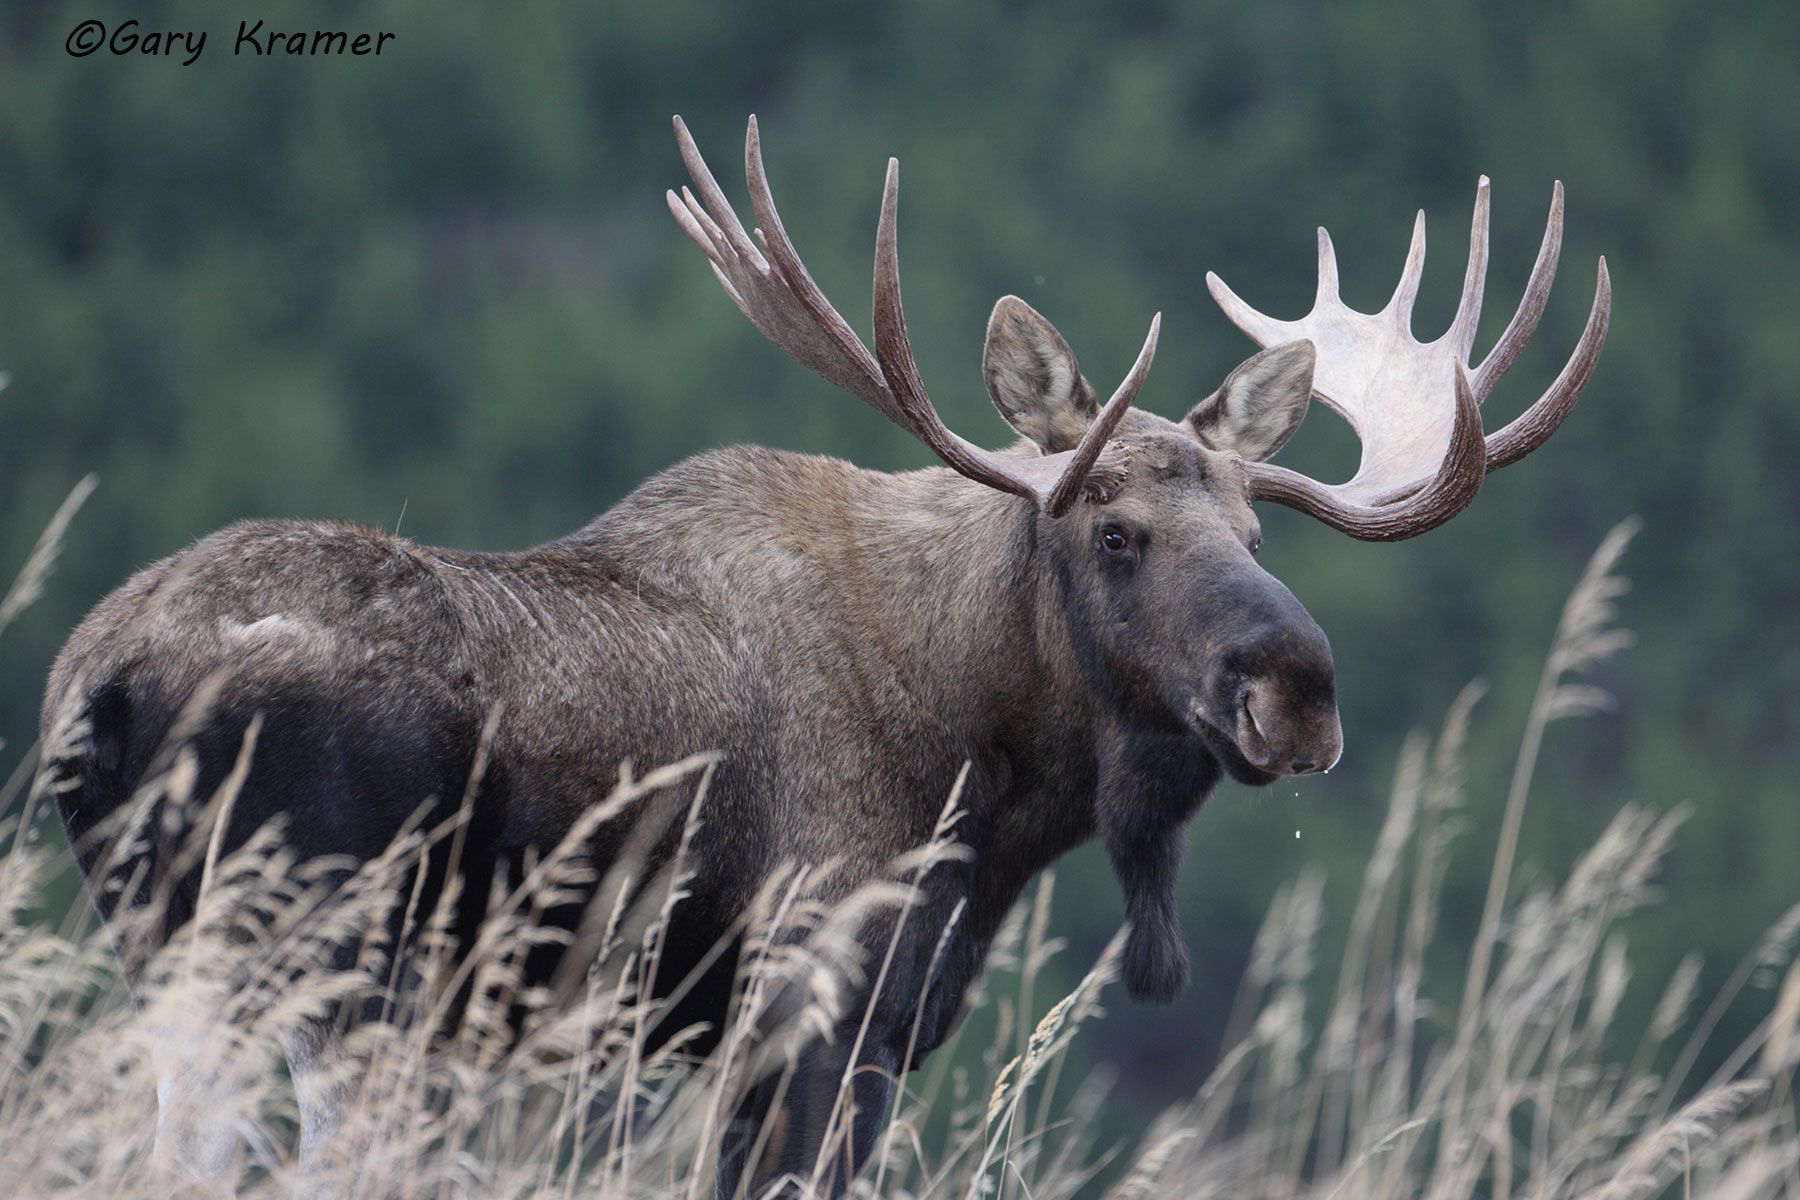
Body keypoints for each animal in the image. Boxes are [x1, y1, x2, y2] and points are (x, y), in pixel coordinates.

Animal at [42, 115, 1609, 1196]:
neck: (991, 782)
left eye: (1254, 529)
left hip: (180, 959)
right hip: (331, 962)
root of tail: (98, 687)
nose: (1298, 691)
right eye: (1114, 531)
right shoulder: (820, 1016)